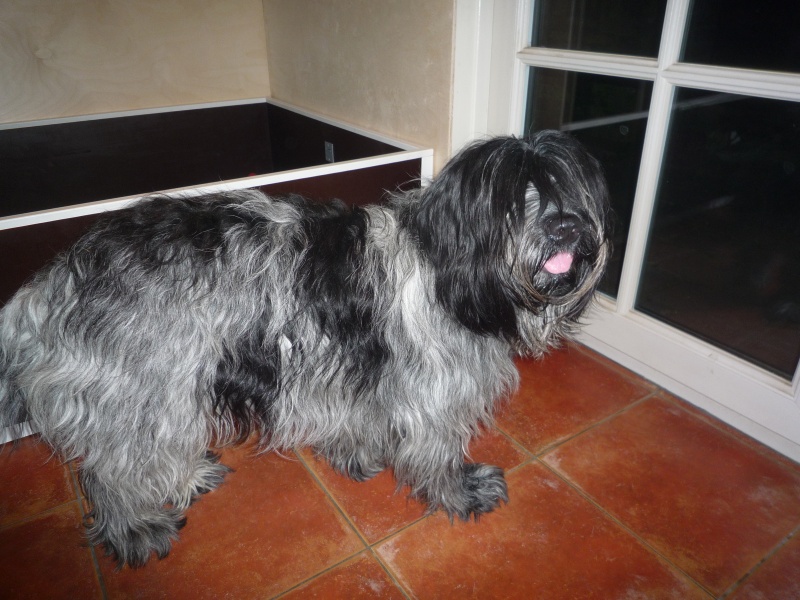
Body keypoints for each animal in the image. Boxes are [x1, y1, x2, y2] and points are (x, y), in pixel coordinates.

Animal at [0, 131, 610, 567]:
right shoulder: (433, 389)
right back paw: (135, 528)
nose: (567, 229)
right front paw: (458, 492)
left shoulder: (348, 368)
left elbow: (355, 417)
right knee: (111, 470)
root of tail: (51, 280)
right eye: (515, 197)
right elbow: (436, 449)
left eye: (568, 190)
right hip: (147, 385)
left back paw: (189, 477)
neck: (448, 264)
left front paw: (353, 454)